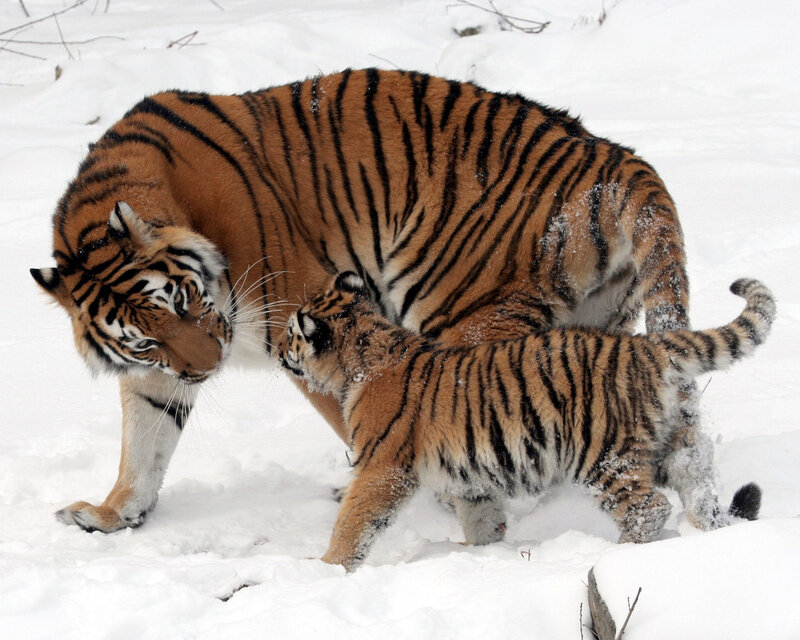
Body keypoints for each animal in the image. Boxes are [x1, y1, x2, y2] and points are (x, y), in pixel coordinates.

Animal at [32, 68, 720, 539]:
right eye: (145, 337)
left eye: (181, 299)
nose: (207, 367)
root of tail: (613, 156)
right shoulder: (158, 371)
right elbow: (143, 441)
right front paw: (111, 514)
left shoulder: (300, 317)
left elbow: (358, 416)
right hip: (597, 326)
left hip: (466, 314)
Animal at [279, 272, 771, 570]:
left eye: (290, 333)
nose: (279, 350)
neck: (362, 355)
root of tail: (646, 346)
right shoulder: (469, 477)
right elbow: (481, 518)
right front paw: (477, 552)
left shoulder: (382, 468)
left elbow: (353, 522)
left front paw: (325, 569)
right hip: (670, 444)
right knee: (699, 483)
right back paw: (713, 534)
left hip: (602, 454)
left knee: (649, 507)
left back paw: (616, 555)